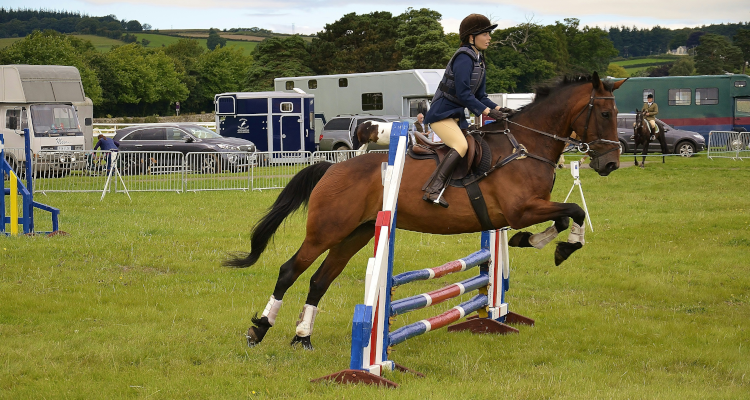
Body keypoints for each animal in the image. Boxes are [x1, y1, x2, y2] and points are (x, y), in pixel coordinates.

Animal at [223, 72, 628, 350]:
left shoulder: (528, 210)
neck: (526, 145)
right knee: (290, 270)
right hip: (327, 230)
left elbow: (565, 214)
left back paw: (302, 336)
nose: (610, 164)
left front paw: (535, 243)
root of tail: (332, 167)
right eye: (605, 113)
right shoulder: (521, 210)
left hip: (356, 233)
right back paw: (259, 328)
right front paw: (559, 247)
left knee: (320, 280)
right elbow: (573, 210)